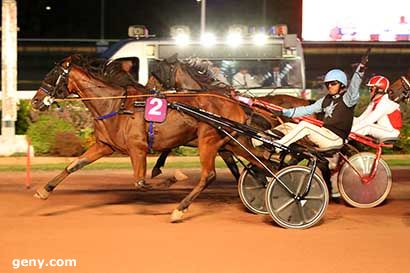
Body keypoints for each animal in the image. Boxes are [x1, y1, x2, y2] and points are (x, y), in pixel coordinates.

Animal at [31, 56, 272, 221]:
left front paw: (174, 177)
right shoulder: (105, 146)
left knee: (209, 175)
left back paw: (179, 209)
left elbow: (141, 182)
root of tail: (235, 105)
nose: (35, 101)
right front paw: (44, 190)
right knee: (261, 161)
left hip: (209, 140)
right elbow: (73, 165)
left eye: (52, 75)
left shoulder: (137, 149)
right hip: (232, 141)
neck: (115, 105)